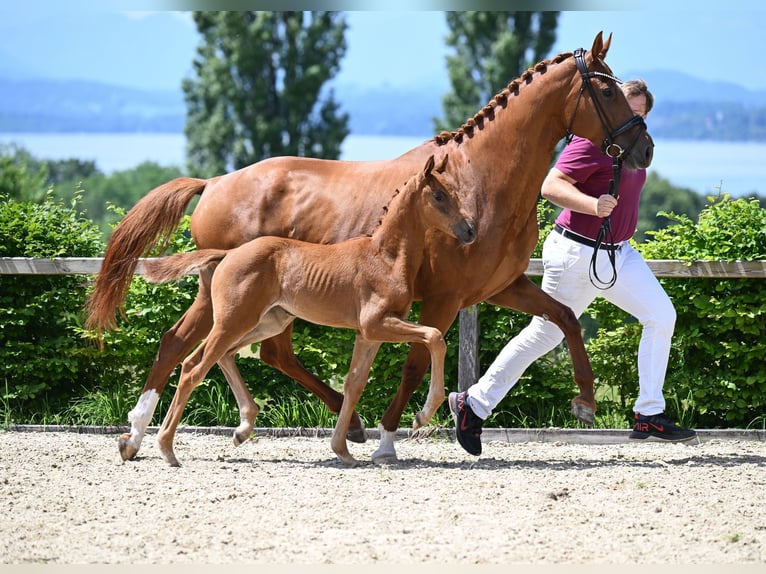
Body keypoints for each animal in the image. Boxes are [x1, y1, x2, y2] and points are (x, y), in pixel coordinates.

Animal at [141, 154, 477, 467]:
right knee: (193, 367)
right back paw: (167, 448)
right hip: (233, 321)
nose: (470, 231)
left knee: (221, 356)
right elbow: (434, 337)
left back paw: (242, 427)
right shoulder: (377, 323)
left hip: (267, 322)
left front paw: (342, 450)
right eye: (439, 196)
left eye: (453, 192)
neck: (385, 258)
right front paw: (424, 414)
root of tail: (228, 254)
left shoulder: (369, 334)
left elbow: (354, 384)